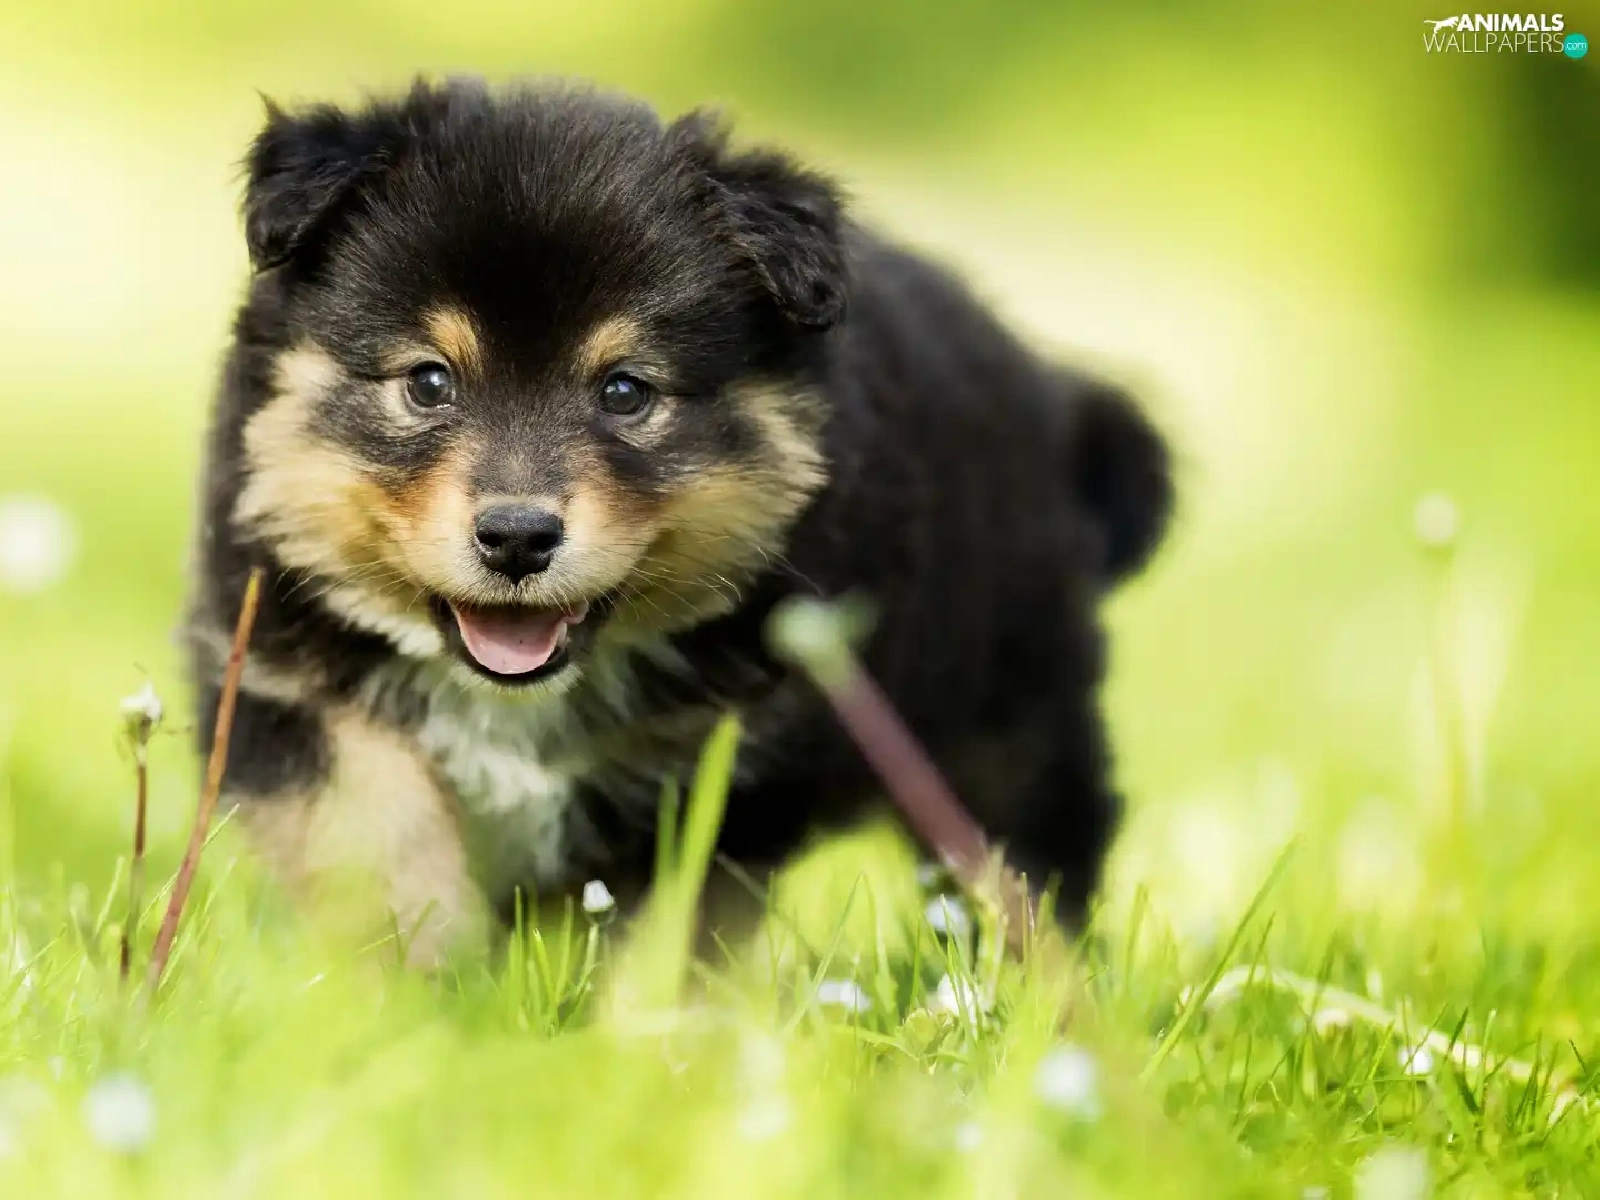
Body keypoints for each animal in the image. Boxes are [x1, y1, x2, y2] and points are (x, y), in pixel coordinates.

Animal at [184, 77, 1173, 964]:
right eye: (428, 381)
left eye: (626, 392)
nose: (517, 537)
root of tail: (1053, 401)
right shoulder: (272, 668)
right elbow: (370, 828)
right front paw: (415, 984)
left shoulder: (731, 760)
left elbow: (668, 931)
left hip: (1007, 730)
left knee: (1029, 864)